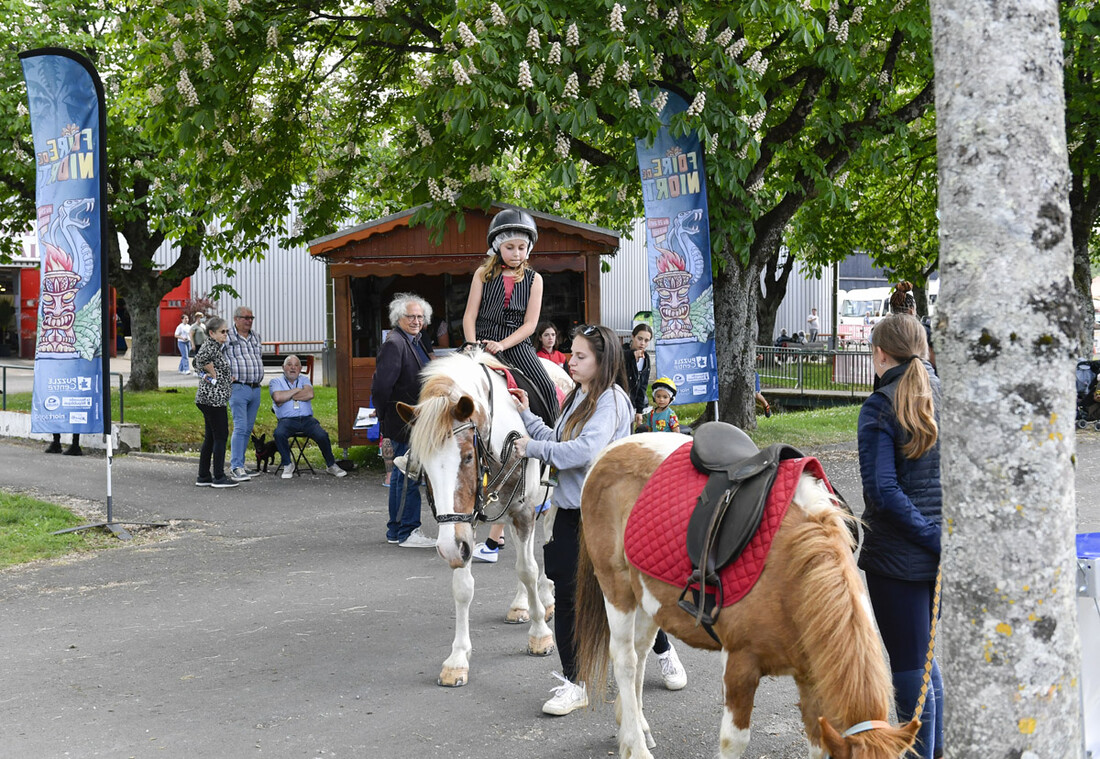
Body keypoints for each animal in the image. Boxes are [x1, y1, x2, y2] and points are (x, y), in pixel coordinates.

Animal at [398, 347, 567, 686]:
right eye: (424, 465)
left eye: (466, 456)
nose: (447, 549)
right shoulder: (465, 522)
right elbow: (463, 587)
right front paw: (457, 659)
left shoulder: (523, 510)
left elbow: (527, 569)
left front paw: (540, 634)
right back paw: (521, 605)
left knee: (542, 546)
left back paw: (545, 598)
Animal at [576, 431, 919, 756]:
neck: (794, 568)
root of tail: (610, 451)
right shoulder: (740, 664)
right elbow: (734, 742)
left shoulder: (809, 677)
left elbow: (816, 743)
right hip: (616, 588)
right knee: (625, 659)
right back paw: (636, 746)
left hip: (650, 599)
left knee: (641, 653)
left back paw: (635, 726)